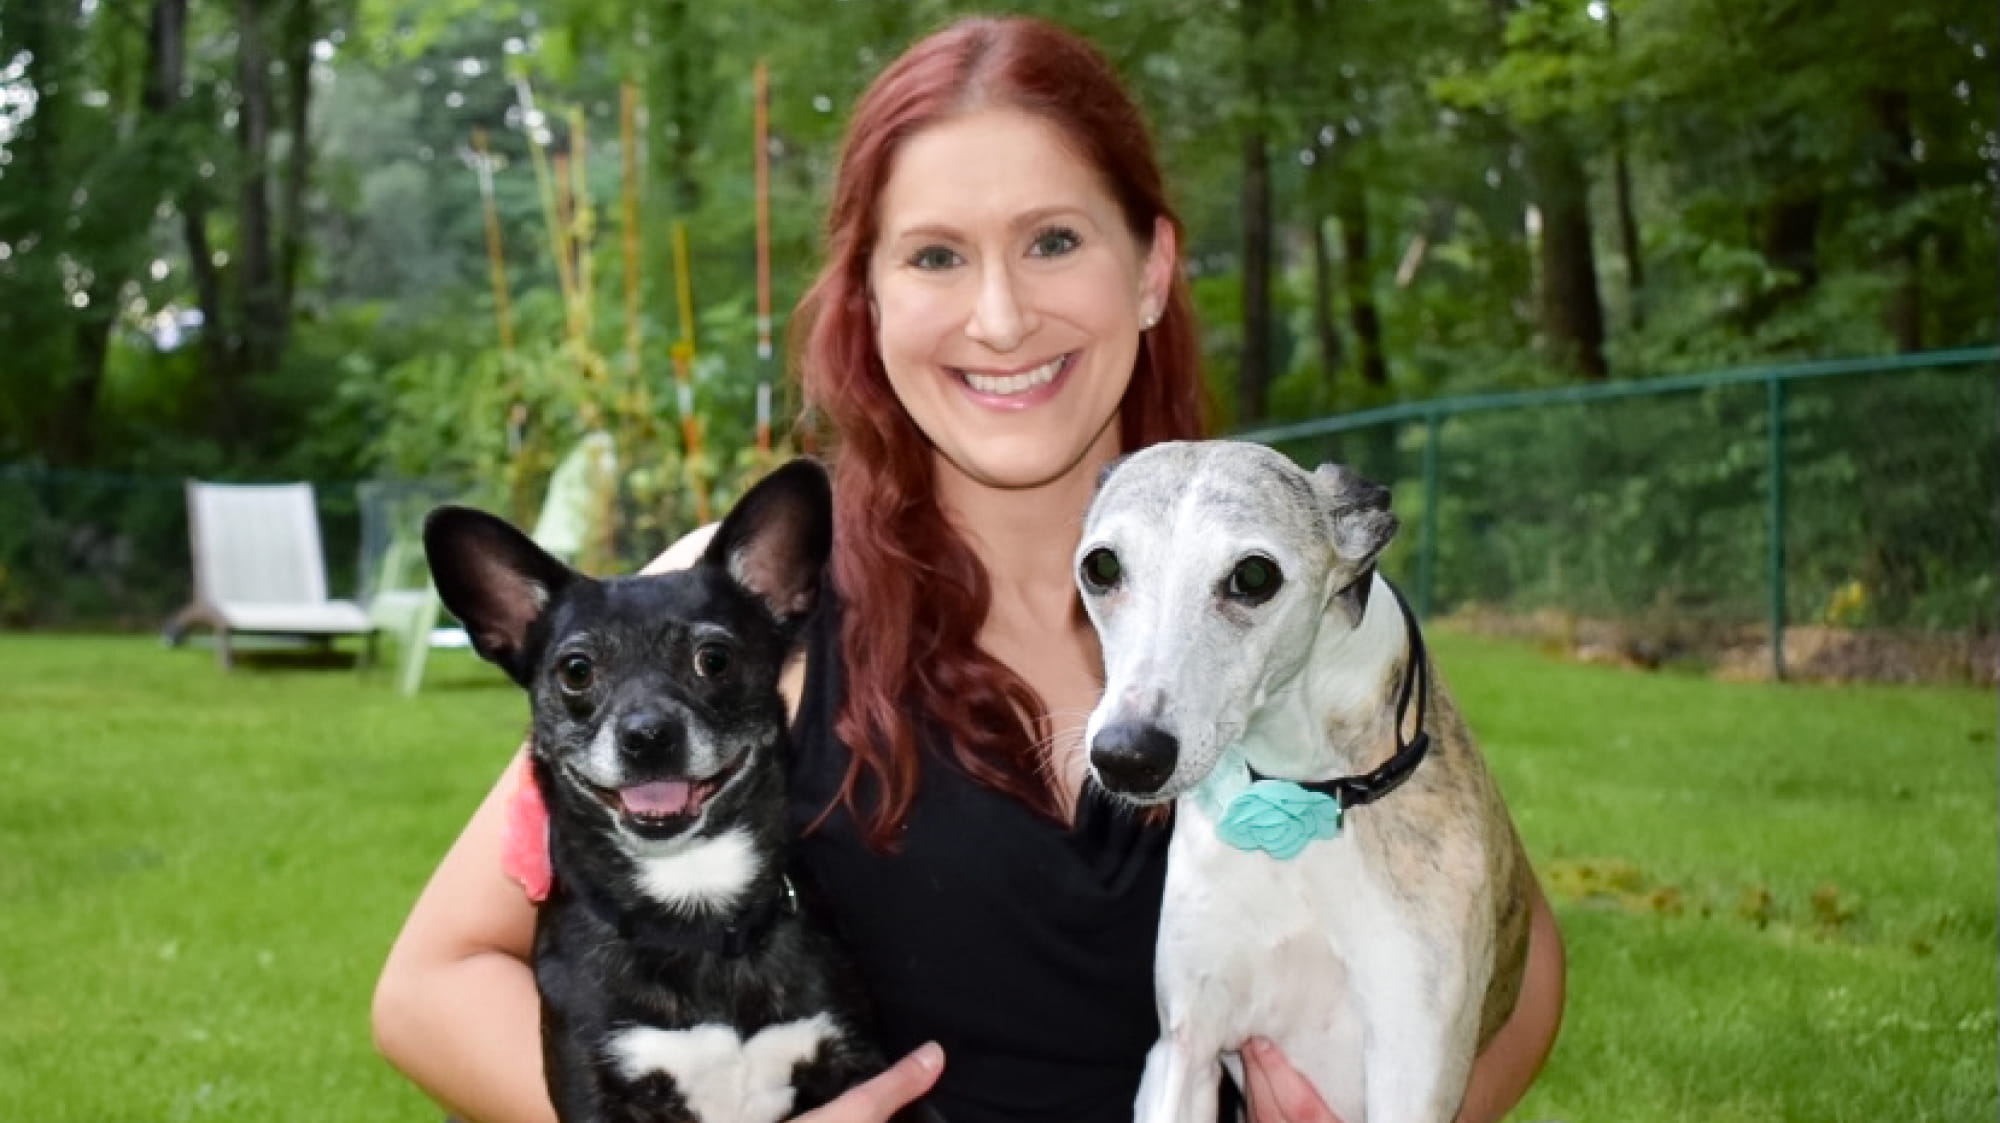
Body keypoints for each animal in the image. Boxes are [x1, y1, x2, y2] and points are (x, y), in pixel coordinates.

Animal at [430, 457, 900, 1119]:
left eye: (715, 659)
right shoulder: (594, 1091)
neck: (696, 911)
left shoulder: (859, 1061)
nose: (648, 735)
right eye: (576, 671)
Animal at [1080, 439, 1528, 1119]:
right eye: (1101, 566)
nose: (1127, 756)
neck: (1301, 799)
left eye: (1254, 576)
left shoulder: (1414, 1061)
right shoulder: (1184, 1048)